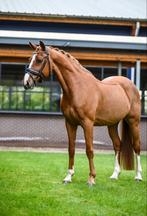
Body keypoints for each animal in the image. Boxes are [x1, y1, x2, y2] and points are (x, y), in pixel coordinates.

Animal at [23, 41, 142, 186]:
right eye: (30, 59)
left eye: (39, 60)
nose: (26, 82)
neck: (77, 88)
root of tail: (130, 84)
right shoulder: (70, 123)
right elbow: (71, 149)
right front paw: (68, 176)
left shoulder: (87, 124)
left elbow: (89, 149)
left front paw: (91, 178)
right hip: (112, 124)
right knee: (117, 144)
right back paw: (115, 175)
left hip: (133, 121)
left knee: (136, 146)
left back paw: (138, 176)